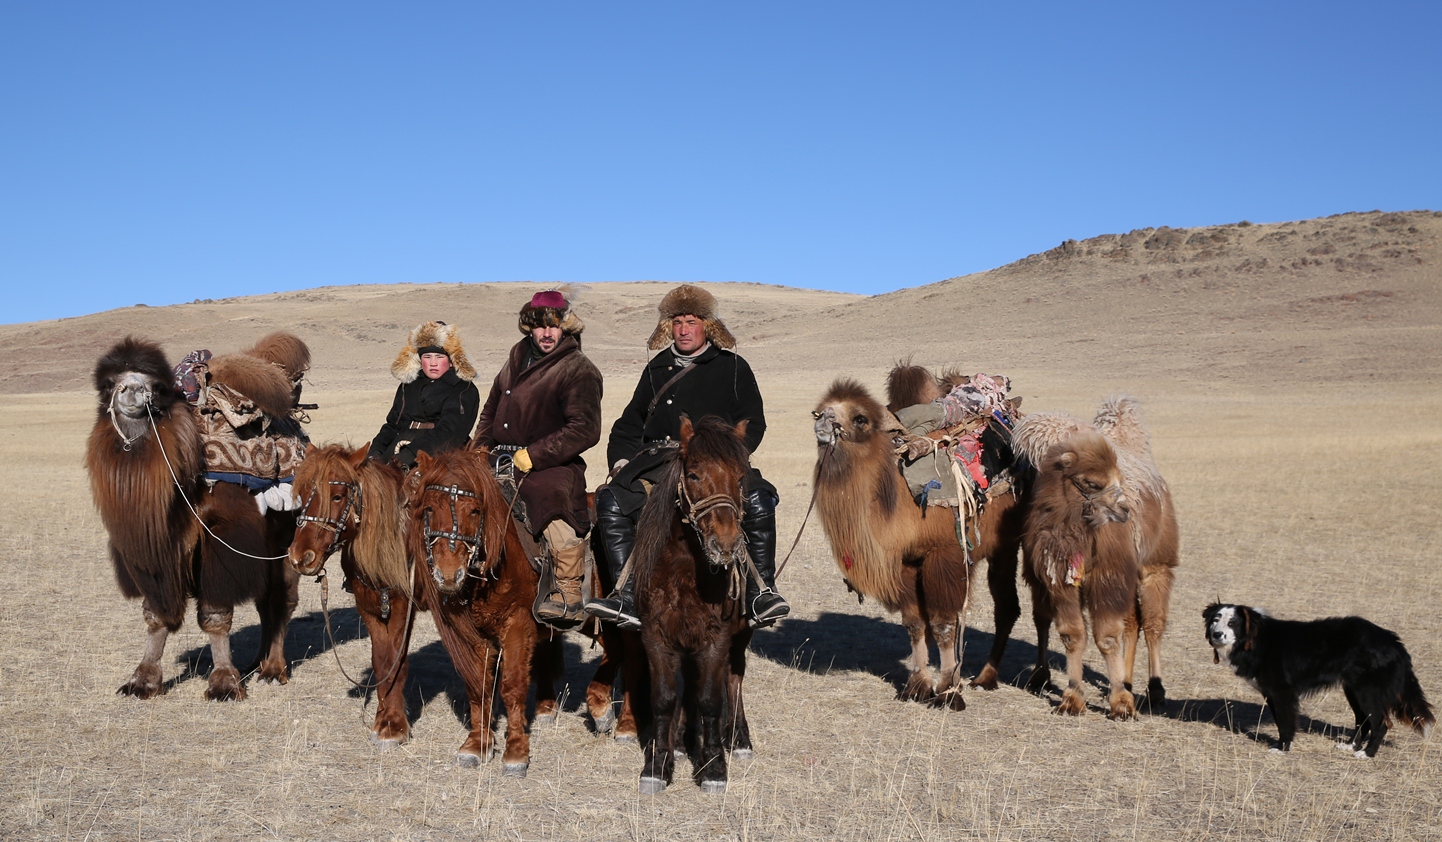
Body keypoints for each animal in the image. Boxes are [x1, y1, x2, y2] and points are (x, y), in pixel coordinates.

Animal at [86, 338, 298, 700]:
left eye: (157, 386)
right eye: (110, 383)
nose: (132, 390)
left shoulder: (223, 540)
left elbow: (215, 614)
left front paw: (224, 683)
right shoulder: (152, 552)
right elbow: (156, 615)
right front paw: (142, 681)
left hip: (285, 538)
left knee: (280, 598)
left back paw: (273, 669)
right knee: (264, 601)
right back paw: (256, 663)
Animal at [637, 415, 761, 795]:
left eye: (740, 476)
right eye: (693, 475)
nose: (726, 543)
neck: (684, 572)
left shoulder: (716, 637)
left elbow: (710, 699)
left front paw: (714, 767)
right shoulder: (656, 636)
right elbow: (664, 697)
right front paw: (658, 765)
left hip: (740, 638)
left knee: (733, 680)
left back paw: (738, 739)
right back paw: (681, 739)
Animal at [819, 377, 1032, 706]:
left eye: (860, 418)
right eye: (818, 412)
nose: (825, 423)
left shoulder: (944, 554)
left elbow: (943, 622)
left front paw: (947, 691)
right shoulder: (907, 562)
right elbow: (915, 623)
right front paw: (917, 685)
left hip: (1007, 545)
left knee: (1006, 607)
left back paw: (985, 678)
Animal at [1015, 397, 1182, 720]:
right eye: (1090, 483)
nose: (1124, 510)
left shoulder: (1108, 575)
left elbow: (1106, 636)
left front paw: (1121, 703)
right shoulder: (1058, 577)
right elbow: (1071, 634)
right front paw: (1072, 697)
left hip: (1156, 564)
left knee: (1153, 623)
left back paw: (1155, 690)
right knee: (1132, 622)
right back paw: (1127, 680)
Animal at [1205, 602, 1430, 761]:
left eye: (1233, 623)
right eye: (1216, 619)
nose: (1216, 634)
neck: (1255, 639)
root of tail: (1393, 641)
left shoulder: (1283, 693)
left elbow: (1285, 722)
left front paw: (1283, 748)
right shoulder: (1271, 694)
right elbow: (1280, 721)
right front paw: (1285, 745)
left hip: (1368, 692)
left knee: (1380, 724)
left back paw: (1366, 754)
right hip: (1353, 690)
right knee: (1362, 720)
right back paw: (1350, 746)